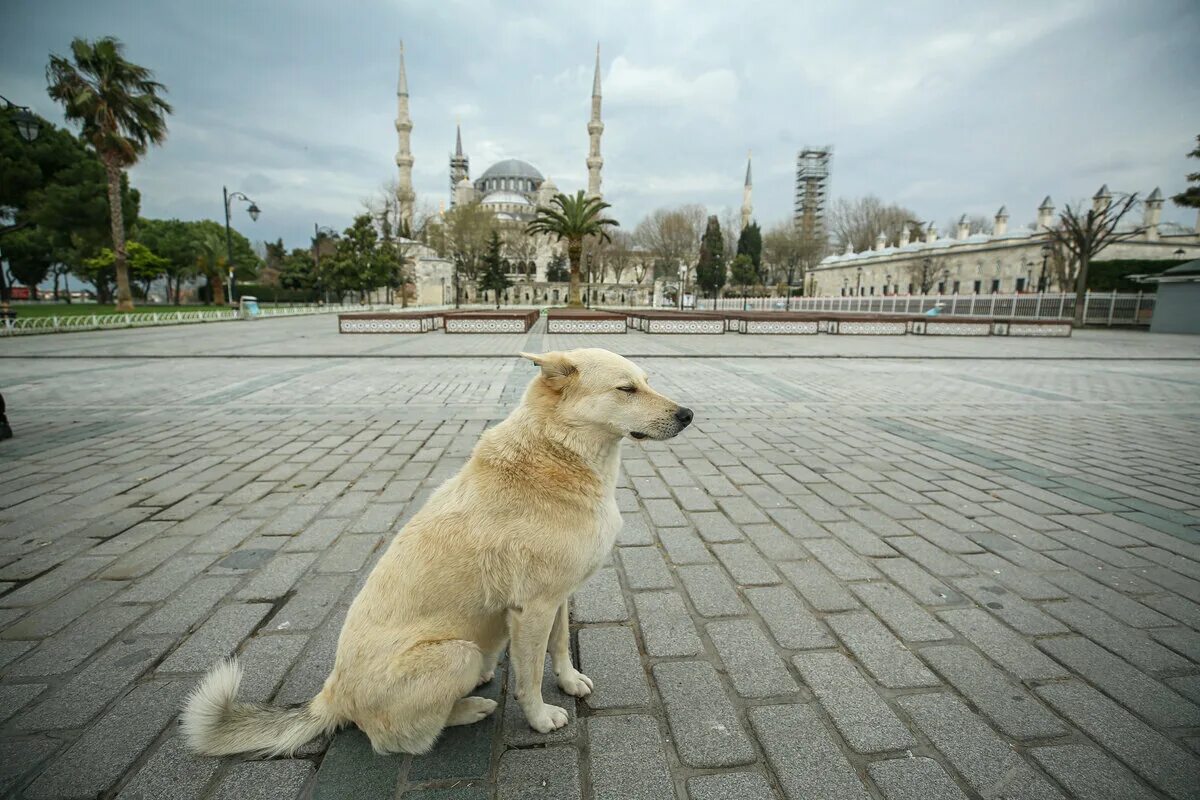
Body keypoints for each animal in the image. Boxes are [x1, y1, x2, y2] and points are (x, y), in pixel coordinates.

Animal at [178, 345, 696, 758]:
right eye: (626, 389)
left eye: (647, 381)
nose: (688, 414)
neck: (558, 452)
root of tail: (332, 696)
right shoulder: (533, 608)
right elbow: (529, 676)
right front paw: (540, 718)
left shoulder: (558, 598)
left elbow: (560, 647)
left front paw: (569, 683)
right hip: (455, 654)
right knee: (396, 740)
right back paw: (471, 708)